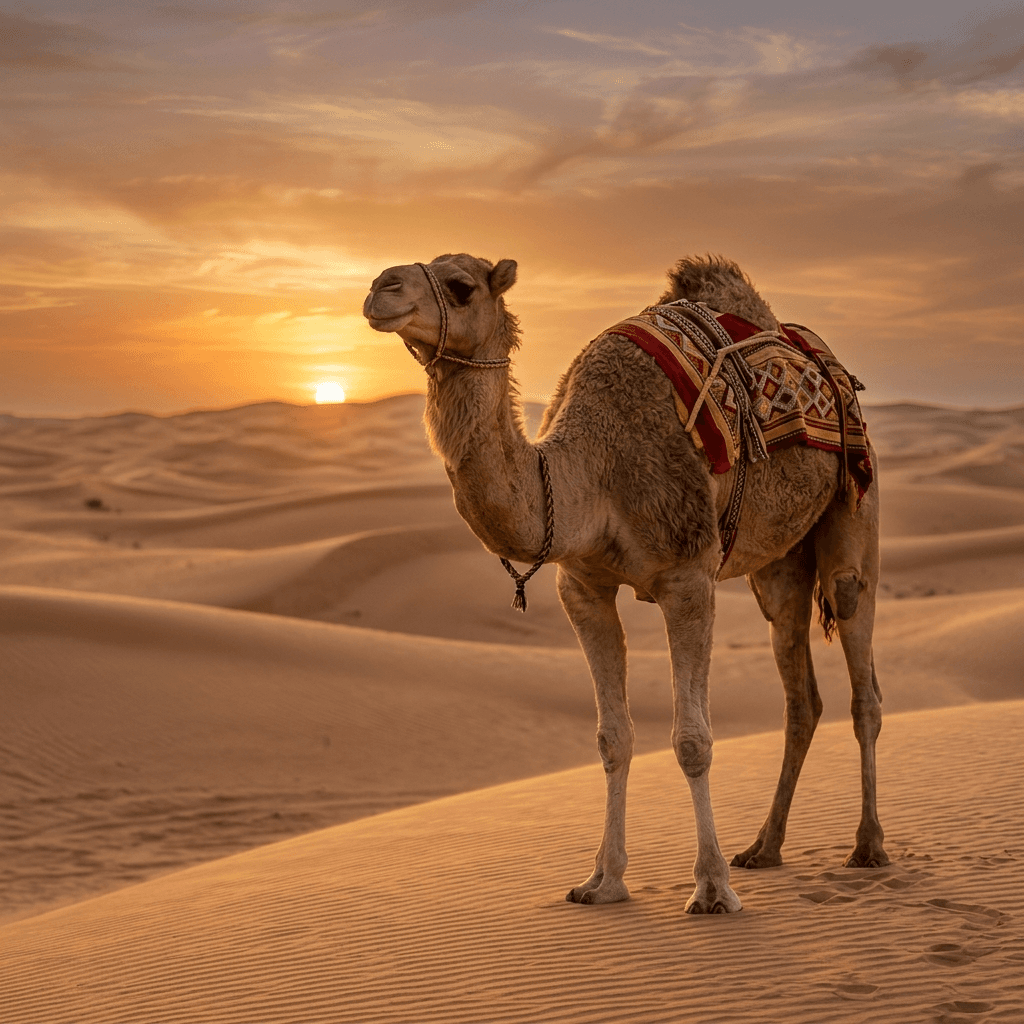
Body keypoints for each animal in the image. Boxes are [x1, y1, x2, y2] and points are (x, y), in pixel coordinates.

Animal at [363, 253, 888, 914]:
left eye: (460, 287)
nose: (380, 288)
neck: (589, 473)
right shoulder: (583, 588)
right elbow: (612, 737)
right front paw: (602, 881)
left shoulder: (688, 576)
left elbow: (692, 740)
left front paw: (712, 888)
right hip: (780, 562)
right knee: (801, 692)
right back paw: (763, 848)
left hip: (856, 498)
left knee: (859, 663)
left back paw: (867, 847)